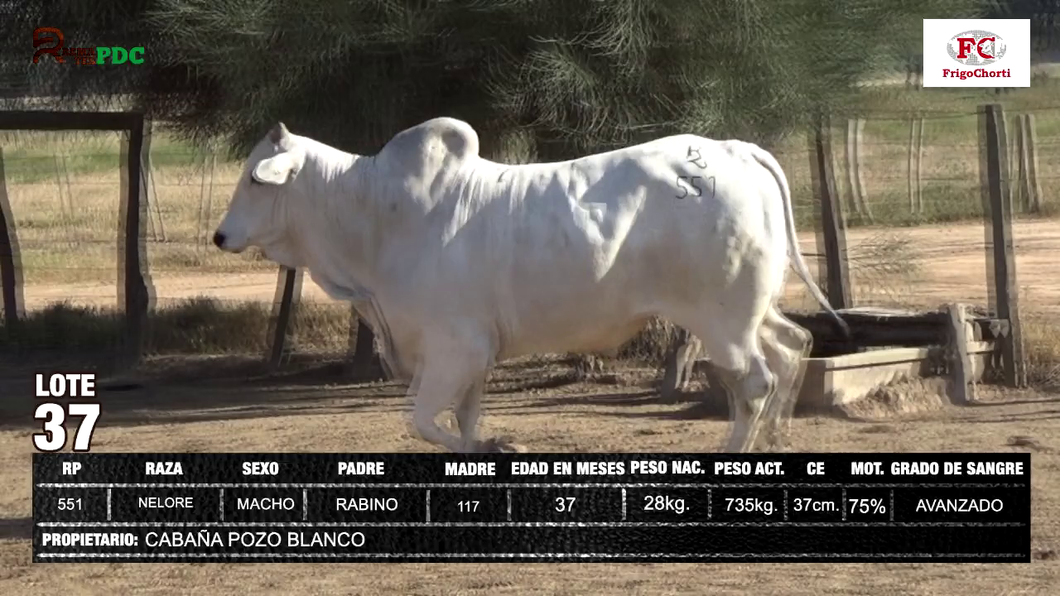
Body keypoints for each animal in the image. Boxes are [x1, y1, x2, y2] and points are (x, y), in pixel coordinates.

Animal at [213, 117, 843, 449]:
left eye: (255, 179)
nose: (220, 235)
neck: (374, 218)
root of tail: (735, 150)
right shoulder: (473, 355)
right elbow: (459, 419)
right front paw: (486, 443)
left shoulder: (456, 348)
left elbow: (424, 421)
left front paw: (496, 443)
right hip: (752, 312)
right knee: (792, 347)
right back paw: (774, 443)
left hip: (723, 320)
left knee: (754, 381)